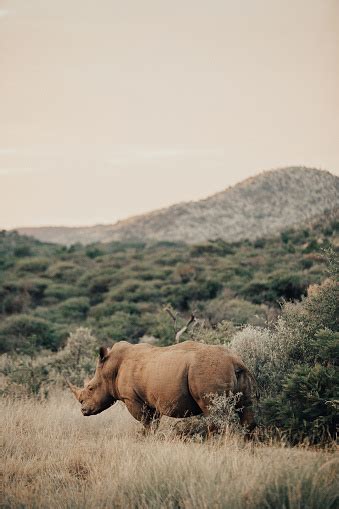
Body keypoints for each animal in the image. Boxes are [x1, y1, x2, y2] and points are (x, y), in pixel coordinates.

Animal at [67, 340, 256, 430]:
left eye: (91, 388)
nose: (83, 411)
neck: (110, 368)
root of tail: (235, 361)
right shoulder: (150, 399)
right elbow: (153, 423)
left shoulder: (133, 399)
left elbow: (146, 423)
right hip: (236, 371)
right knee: (246, 408)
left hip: (208, 369)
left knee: (214, 412)